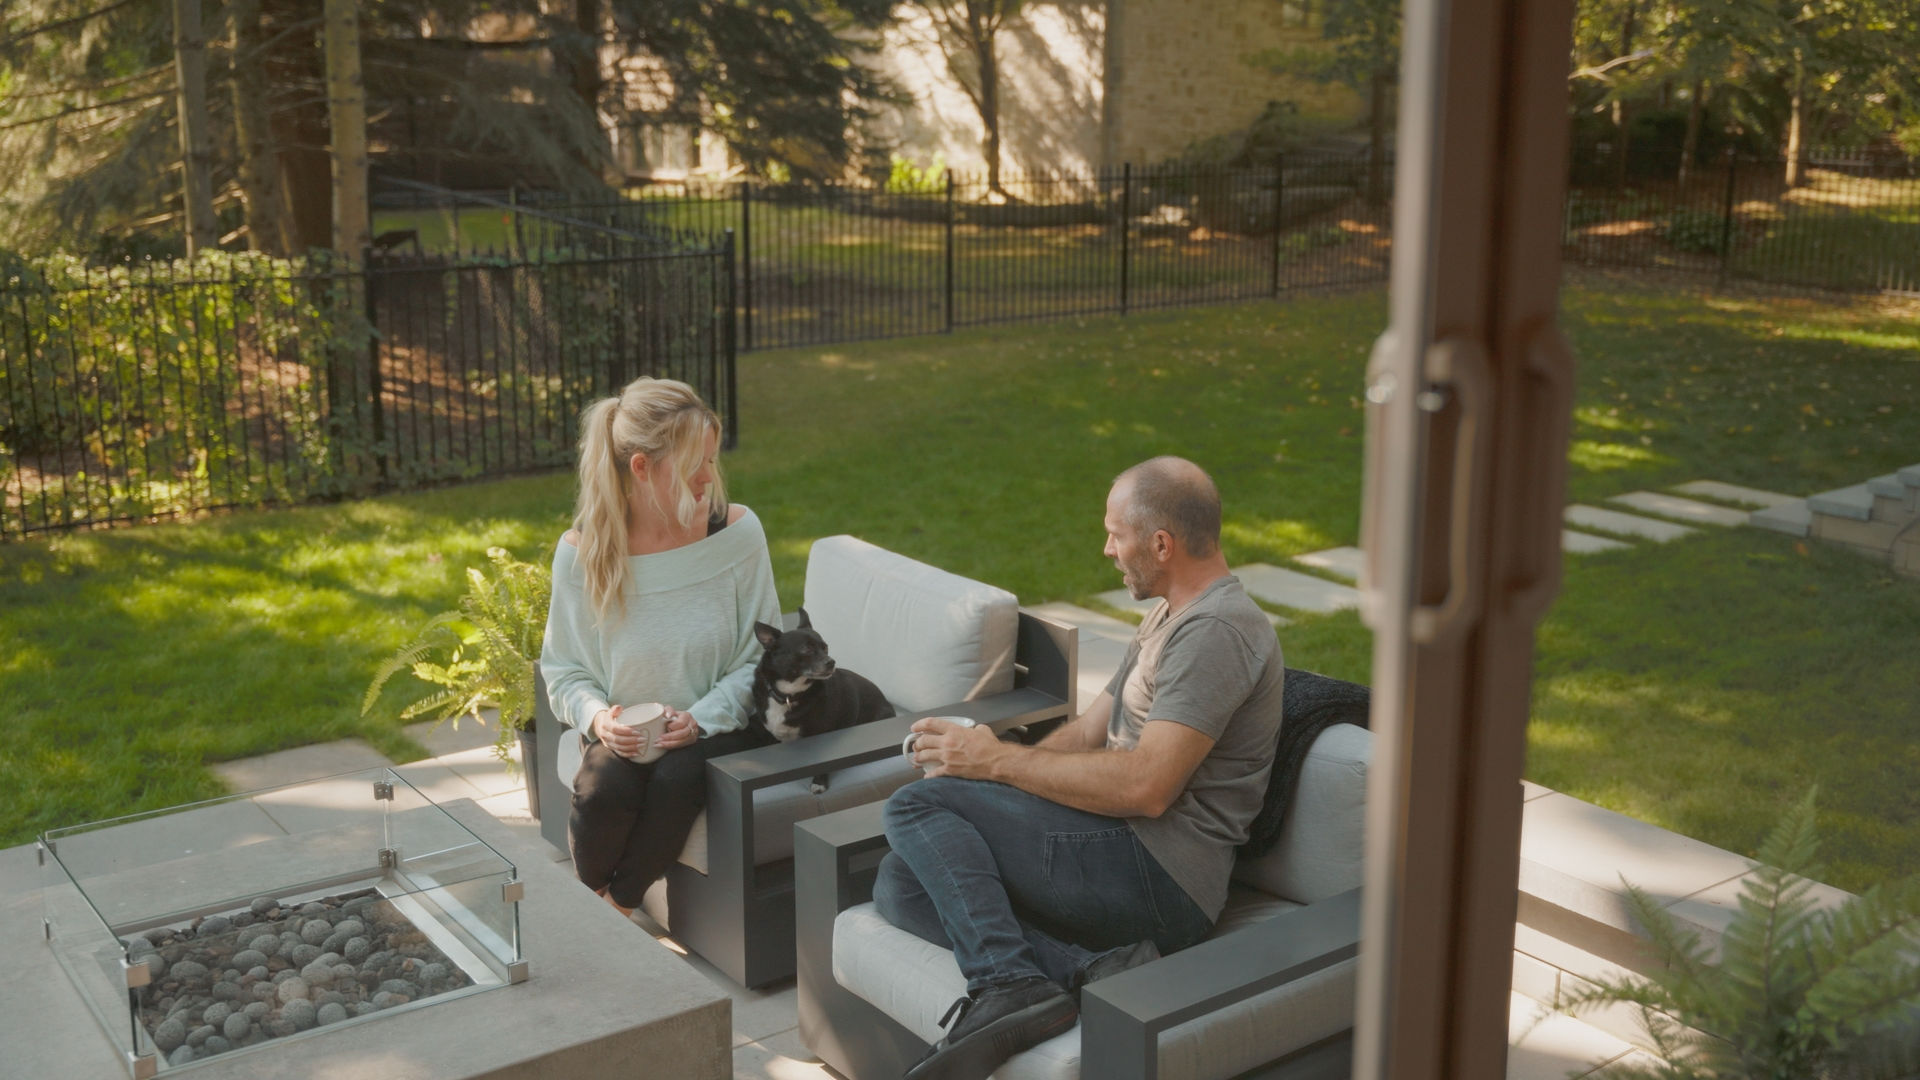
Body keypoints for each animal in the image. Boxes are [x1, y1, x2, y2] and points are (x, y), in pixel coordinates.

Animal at [752, 607, 894, 791]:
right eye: (806, 650)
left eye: (825, 648)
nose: (831, 662)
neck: (789, 694)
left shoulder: (821, 736)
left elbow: (821, 764)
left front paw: (819, 783)